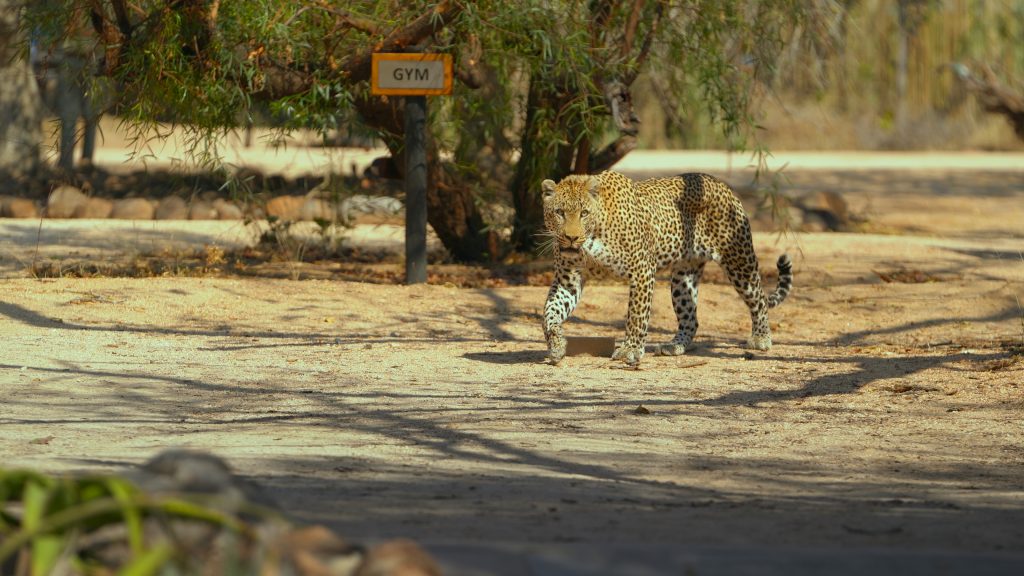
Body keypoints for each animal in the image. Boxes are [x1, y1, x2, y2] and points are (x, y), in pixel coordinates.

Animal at [540, 169, 794, 362]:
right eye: (559, 212)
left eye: (584, 213)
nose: (571, 238)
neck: (593, 239)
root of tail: (720, 183)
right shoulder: (568, 279)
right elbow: (549, 312)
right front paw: (557, 343)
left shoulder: (642, 270)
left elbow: (636, 315)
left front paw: (631, 350)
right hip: (683, 278)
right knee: (690, 318)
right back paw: (675, 346)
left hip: (738, 260)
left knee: (759, 299)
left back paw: (761, 338)